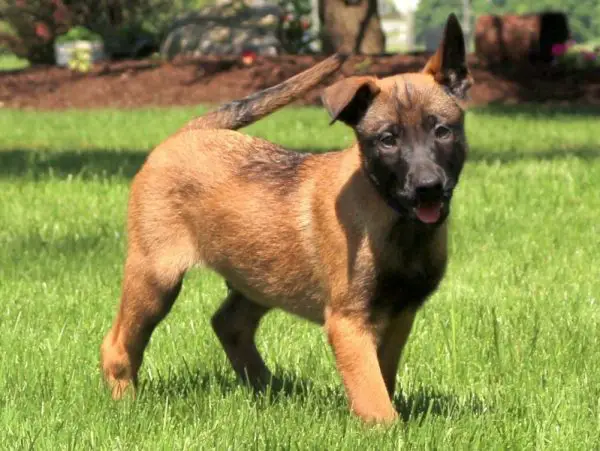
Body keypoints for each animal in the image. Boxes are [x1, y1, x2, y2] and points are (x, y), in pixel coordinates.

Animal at [102, 13, 474, 424]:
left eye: (442, 131)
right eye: (387, 139)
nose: (428, 188)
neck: (394, 219)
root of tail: (190, 132)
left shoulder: (400, 315)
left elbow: (382, 378)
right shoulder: (348, 322)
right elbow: (372, 394)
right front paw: (387, 428)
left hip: (260, 274)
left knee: (228, 323)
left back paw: (269, 388)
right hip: (155, 277)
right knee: (119, 344)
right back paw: (126, 402)